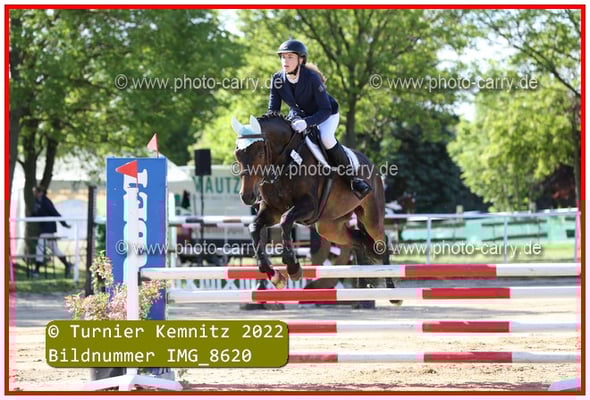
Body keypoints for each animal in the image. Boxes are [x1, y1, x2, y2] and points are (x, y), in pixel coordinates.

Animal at [232, 113, 389, 290]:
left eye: (259, 153)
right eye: (237, 154)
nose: (247, 196)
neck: (285, 160)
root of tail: (372, 166)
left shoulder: (309, 206)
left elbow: (285, 220)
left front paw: (293, 267)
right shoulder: (272, 210)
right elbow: (254, 227)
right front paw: (273, 274)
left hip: (372, 219)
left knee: (381, 244)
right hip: (329, 227)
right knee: (359, 241)